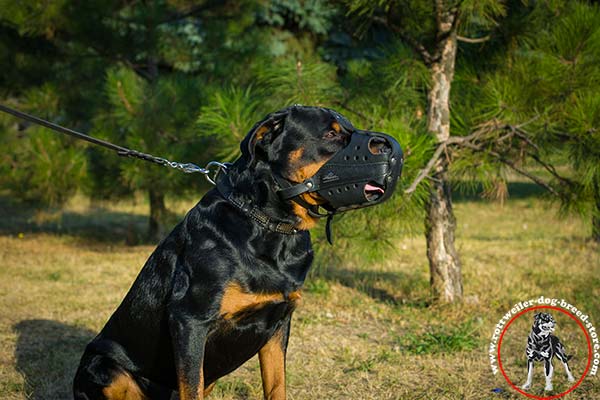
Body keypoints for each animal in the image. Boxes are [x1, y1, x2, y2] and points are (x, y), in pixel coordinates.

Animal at [75, 106, 400, 400]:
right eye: (331, 134)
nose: (392, 148)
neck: (268, 224)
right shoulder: (190, 320)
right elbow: (191, 388)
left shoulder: (278, 324)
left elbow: (277, 385)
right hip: (104, 368)